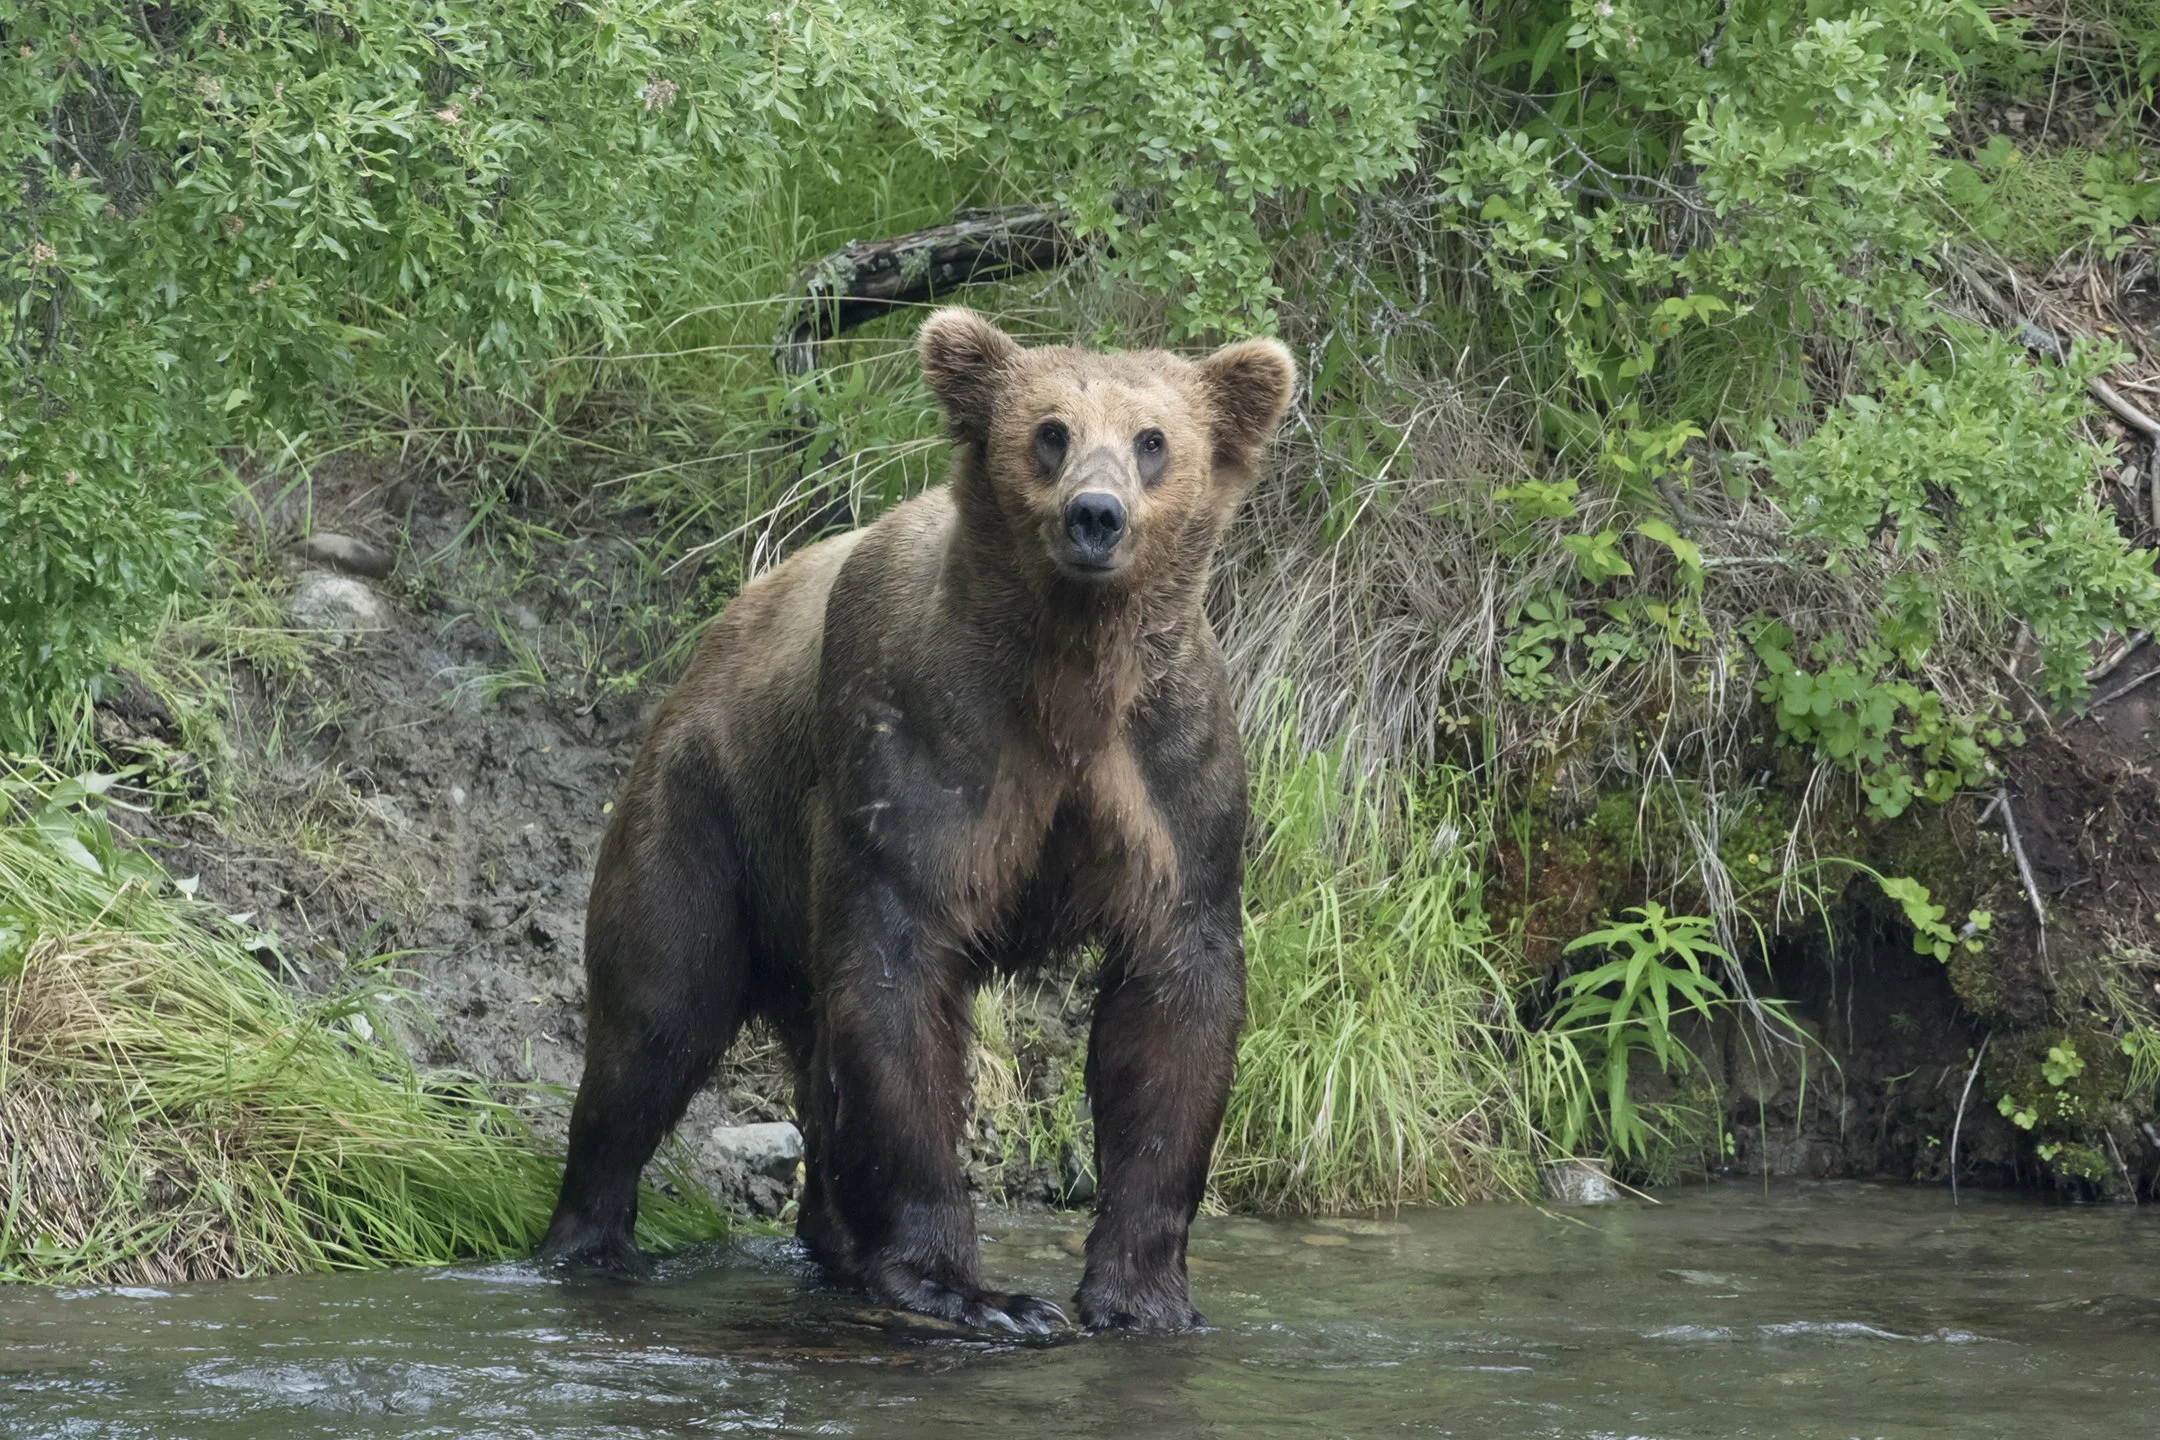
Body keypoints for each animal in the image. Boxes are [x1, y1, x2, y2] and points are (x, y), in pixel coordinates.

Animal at [539, 308, 1296, 1333]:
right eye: (1049, 431)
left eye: (1153, 440)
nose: (1094, 516)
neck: (1069, 674)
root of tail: (707, 643)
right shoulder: (923, 739)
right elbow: (897, 978)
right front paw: (976, 1291)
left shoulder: (1171, 775)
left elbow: (1173, 1005)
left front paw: (1143, 1296)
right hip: (705, 813)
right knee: (656, 1018)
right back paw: (592, 1239)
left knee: (805, 1052)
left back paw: (835, 1241)